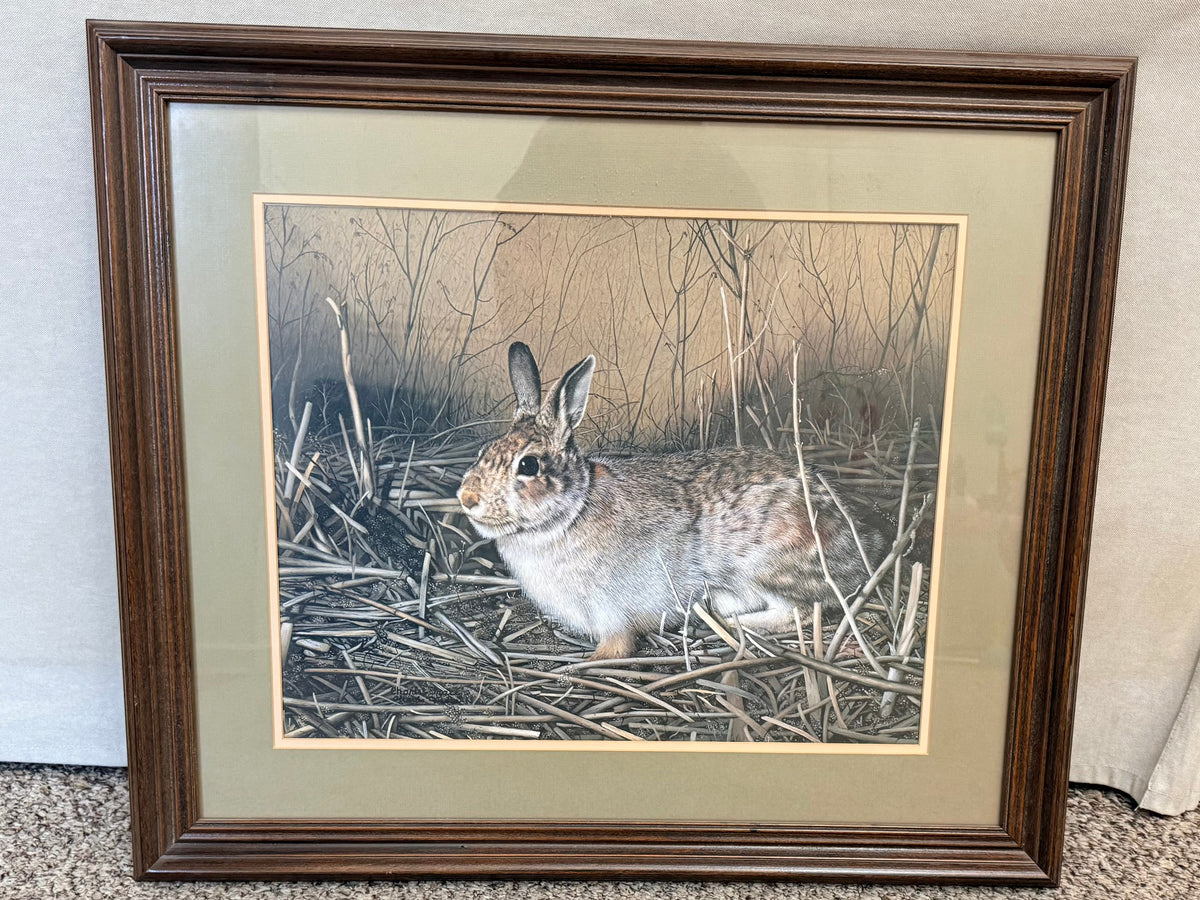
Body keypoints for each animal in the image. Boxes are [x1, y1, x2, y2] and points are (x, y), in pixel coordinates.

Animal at [457, 342, 886, 660]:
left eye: (528, 465)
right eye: (484, 451)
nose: (467, 498)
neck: (570, 513)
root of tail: (866, 550)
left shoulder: (611, 612)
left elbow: (616, 647)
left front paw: (589, 663)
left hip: (766, 562)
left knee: (802, 612)